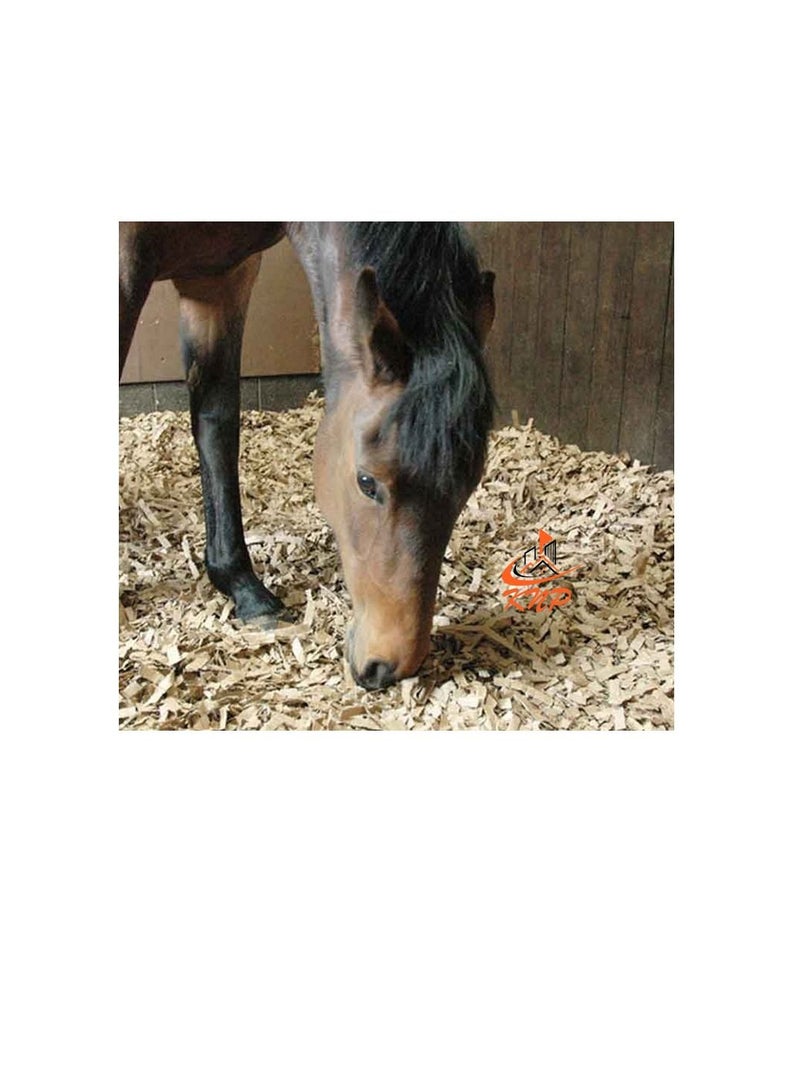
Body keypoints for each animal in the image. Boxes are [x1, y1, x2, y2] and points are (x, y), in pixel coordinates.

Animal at [119, 223, 496, 690]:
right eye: (366, 481)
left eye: (467, 488)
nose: (387, 667)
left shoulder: (221, 274)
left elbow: (216, 423)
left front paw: (244, 587)